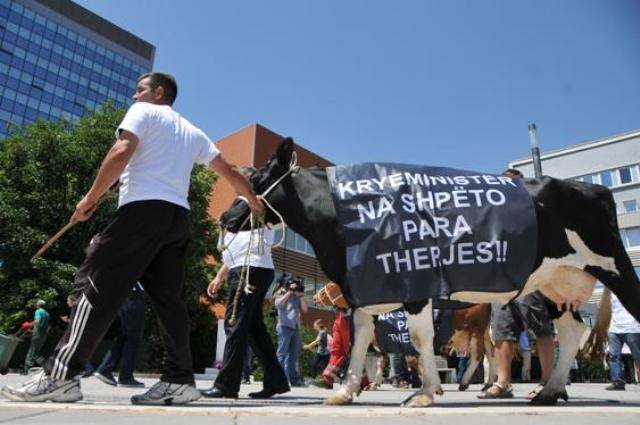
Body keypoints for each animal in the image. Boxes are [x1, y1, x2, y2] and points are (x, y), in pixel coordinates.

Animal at [220, 137, 640, 406]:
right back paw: (549, 392)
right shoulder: (362, 290)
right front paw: (345, 391)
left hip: (613, 266)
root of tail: (593, 190)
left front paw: (425, 392)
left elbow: (420, 339)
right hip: (557, 282)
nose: (225, 218)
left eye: (254, 179)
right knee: (569, 332)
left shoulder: (414, 283)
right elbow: (360, 342)